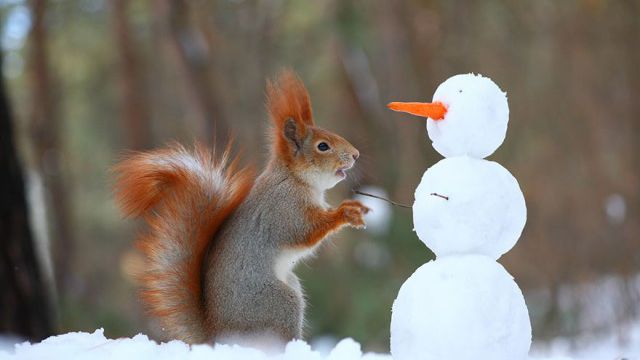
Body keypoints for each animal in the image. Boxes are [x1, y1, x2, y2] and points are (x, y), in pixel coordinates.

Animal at [112, 69, 368, 346]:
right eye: (323, 146)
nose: (356, 154)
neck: (294, 179)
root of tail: (219, 336)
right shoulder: (283, 209)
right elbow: (304, 232)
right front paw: (346, 213)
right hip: (278, 304)